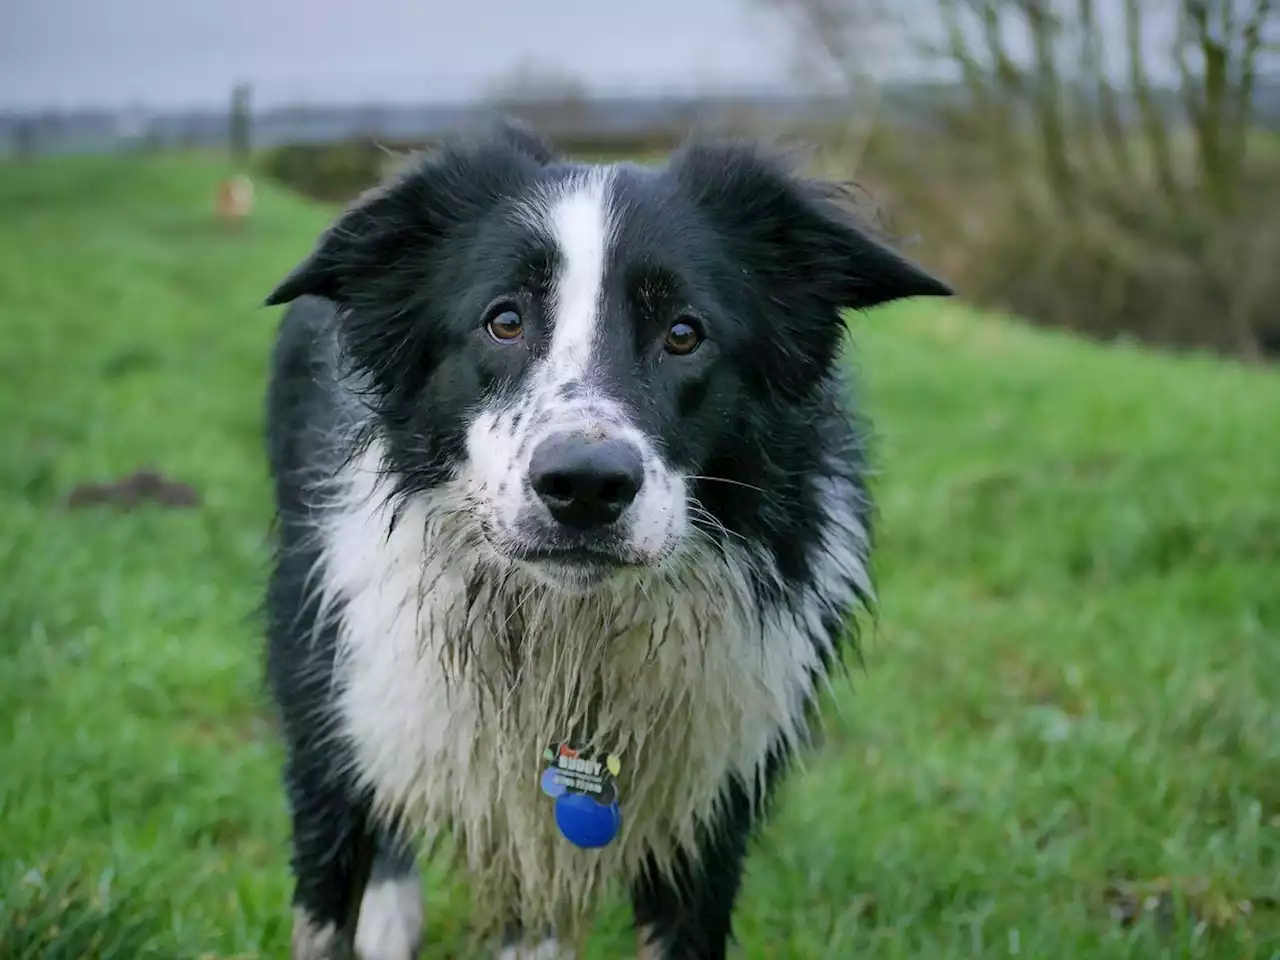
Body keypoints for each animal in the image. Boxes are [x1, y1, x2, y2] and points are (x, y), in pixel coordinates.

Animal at [262, 122, 952, 960]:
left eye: (684, 334)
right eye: (504, 320)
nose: (584, 487)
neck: (568, 639)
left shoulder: (706, 822)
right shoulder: (331, 742)